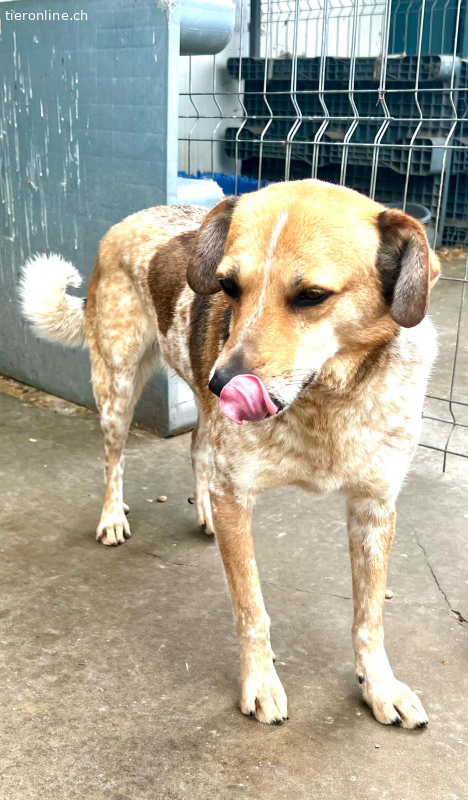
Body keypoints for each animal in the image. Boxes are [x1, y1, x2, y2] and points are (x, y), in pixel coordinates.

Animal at [20, 179, 440, 729]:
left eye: (312, 296)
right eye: (228, 286)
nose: (225, 384)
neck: (327, 402)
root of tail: (131, 219)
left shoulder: (374, 506)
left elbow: (369, 615)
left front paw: (381, 686)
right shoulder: (236, 494)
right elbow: (251, 608)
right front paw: (260, 683)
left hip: (194, 398)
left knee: (198, 448)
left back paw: (204, 515)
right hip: (119, 388)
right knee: (114, 460)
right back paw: (112, 517)